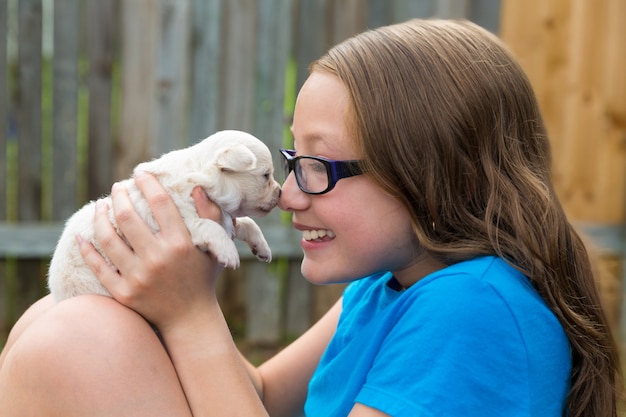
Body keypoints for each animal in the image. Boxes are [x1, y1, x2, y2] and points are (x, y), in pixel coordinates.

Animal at [48, 129, 280, 300]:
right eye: (266, 176)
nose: (280, 192)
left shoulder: (227, 217)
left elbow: (247, 222)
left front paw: (262, 247)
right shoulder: (183, 221)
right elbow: (209, 225)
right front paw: (229, 252)